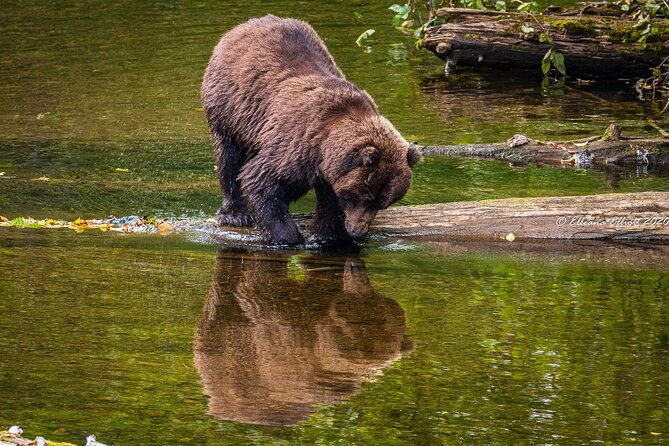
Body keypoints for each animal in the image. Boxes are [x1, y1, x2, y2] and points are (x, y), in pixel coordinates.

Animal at [200, 14, 418, 244]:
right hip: (230, 108)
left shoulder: (329, 171)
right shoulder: (297, 145)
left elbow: (330, 205)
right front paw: (288, 237)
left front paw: (328, 235)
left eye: (384, 202)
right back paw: (234, 213)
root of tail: (245, 25)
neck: (323, 152)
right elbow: (260, 181)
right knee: (229, 158)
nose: (358, 230)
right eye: (363, 196)